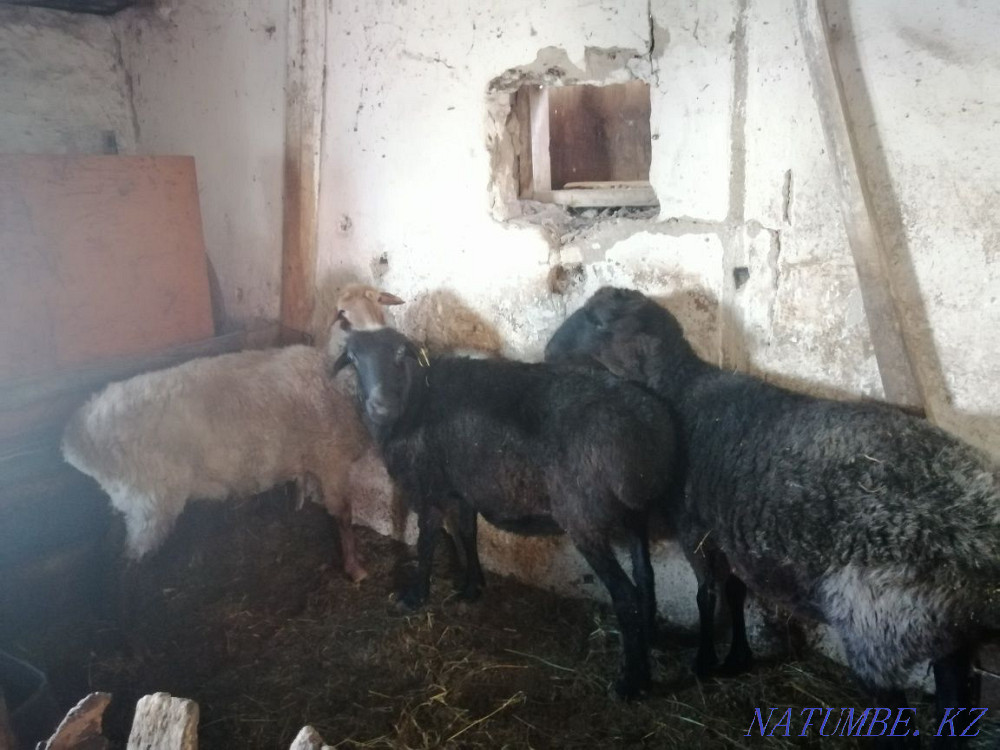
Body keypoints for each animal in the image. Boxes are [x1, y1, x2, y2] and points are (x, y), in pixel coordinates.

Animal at [331, 327, 677, 699]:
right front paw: (472, 588)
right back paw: (650, 642)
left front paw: (415, 596)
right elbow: (467, 534)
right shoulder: (464, 488)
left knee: (626, 595)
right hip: (635, 512)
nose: (381, 405)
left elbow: (427, 544)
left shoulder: (430, 488)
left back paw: (632, 682)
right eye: (353, 359)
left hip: (584, 518)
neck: (413, 404)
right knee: (645, 576)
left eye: (399, 355)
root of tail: (650, 431)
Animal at [545, 286, 1000, 739]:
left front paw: (704, 661)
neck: (681, 388)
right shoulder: (726, 533)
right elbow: (735, 591)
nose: (548, 351)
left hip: (881, 625)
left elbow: (706, 594)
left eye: (596, 320)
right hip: (946, 633)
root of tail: (983, 545)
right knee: (955, 702)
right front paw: (737, 658)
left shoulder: (694, 527)